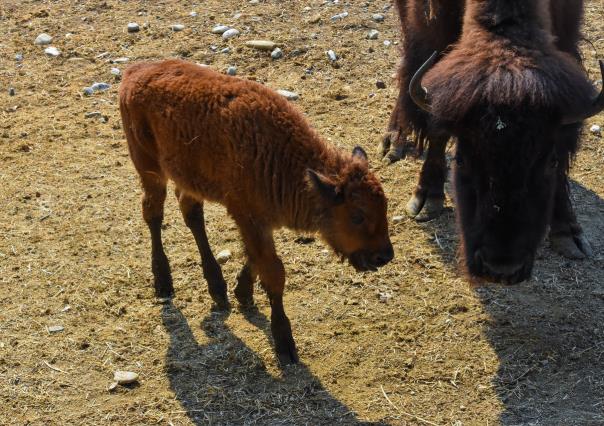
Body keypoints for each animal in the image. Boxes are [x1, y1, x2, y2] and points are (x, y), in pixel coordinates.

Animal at [118, 60, 394, 364]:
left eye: (384, 207)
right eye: (357, 215)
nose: (384, 256)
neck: (285, 161)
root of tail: (135, 71)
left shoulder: (260, 221)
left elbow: (256, 258)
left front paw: (242, 293)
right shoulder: (249, 218)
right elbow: (273, 272)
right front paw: (285, 343)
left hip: (187, 177)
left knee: (191, 213)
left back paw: (217, 288)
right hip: (149, 168)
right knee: (153, 213)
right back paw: (164, 282)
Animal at [384, 2, 600, 286]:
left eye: (549, 163)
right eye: (461, 160)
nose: (501, 269)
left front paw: (567, 231)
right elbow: (436, 120)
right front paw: (427, 197)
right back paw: (394, 139)